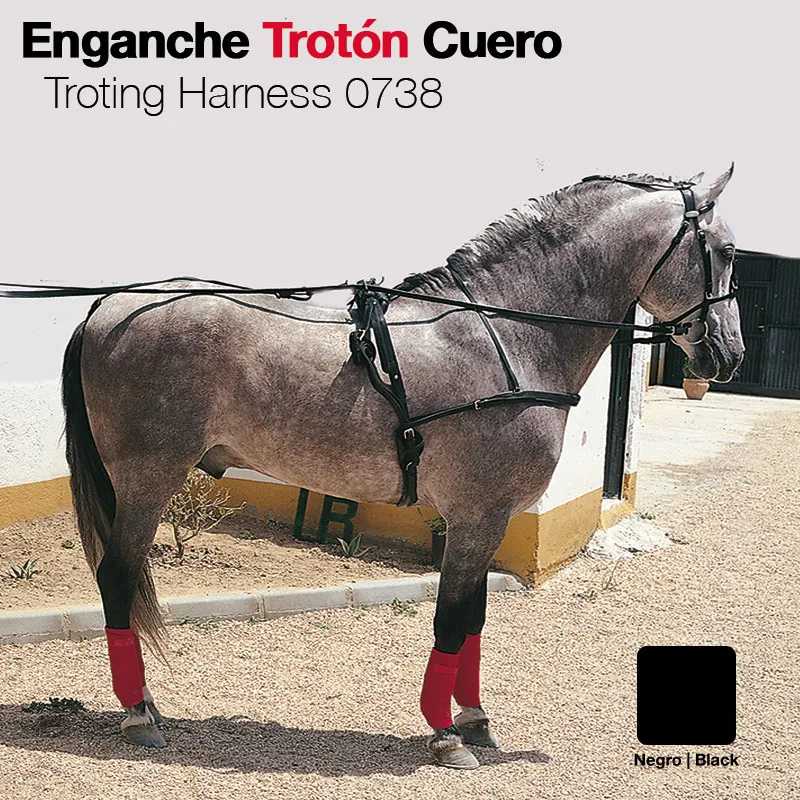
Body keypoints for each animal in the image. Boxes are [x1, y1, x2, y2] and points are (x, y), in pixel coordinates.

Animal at [61, 167, 743, 768]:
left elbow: (473, 619)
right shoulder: (478, 515)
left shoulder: (484, 519)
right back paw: (139, 715)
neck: (508, 333)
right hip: (148, 477)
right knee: (117, 576)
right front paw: (445, 735)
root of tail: (107, 308)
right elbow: (451, 619)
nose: (729, 354)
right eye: (727, 250)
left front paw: (474, 720)